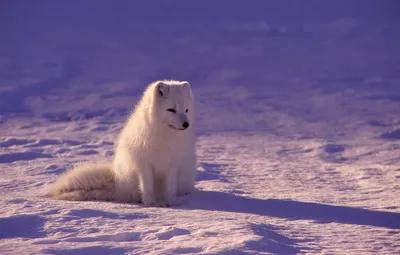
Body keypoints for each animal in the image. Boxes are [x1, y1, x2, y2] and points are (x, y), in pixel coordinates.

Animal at [49, 80, 198, 207]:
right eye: (171, 110)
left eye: (186, 110)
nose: (186, 124)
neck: (165, 136)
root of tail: (116, 182)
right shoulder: (143, 164)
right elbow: (147, 187)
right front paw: (151, 204)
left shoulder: (172, 164)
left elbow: (170, 189)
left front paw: (171, 203)